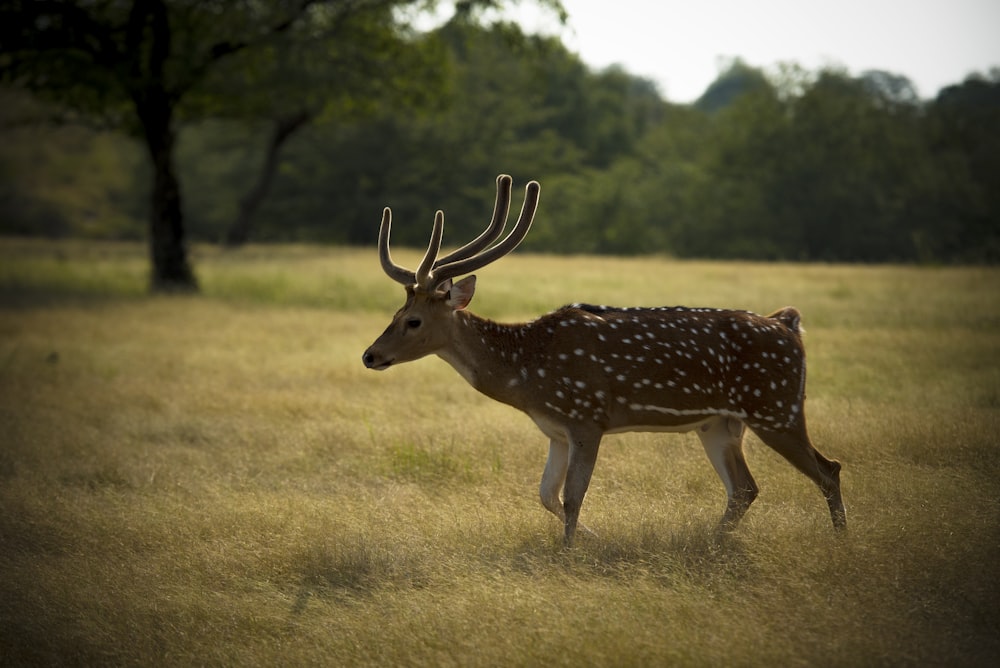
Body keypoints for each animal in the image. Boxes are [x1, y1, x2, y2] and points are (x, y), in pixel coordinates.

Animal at [364, 175, 848, 544]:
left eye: (412, 321)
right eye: (393, 313)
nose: (370, 355)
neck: (527, 375)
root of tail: (790, 324)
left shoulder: (587, 416)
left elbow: (572, 497)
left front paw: (569, 551)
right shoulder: (556, 430)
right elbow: (545, 494)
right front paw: (591, 539)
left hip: (776, 406)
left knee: (828, 469)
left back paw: (841, 541)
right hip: (720, 423)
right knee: (745, 488)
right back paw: (711, 543)